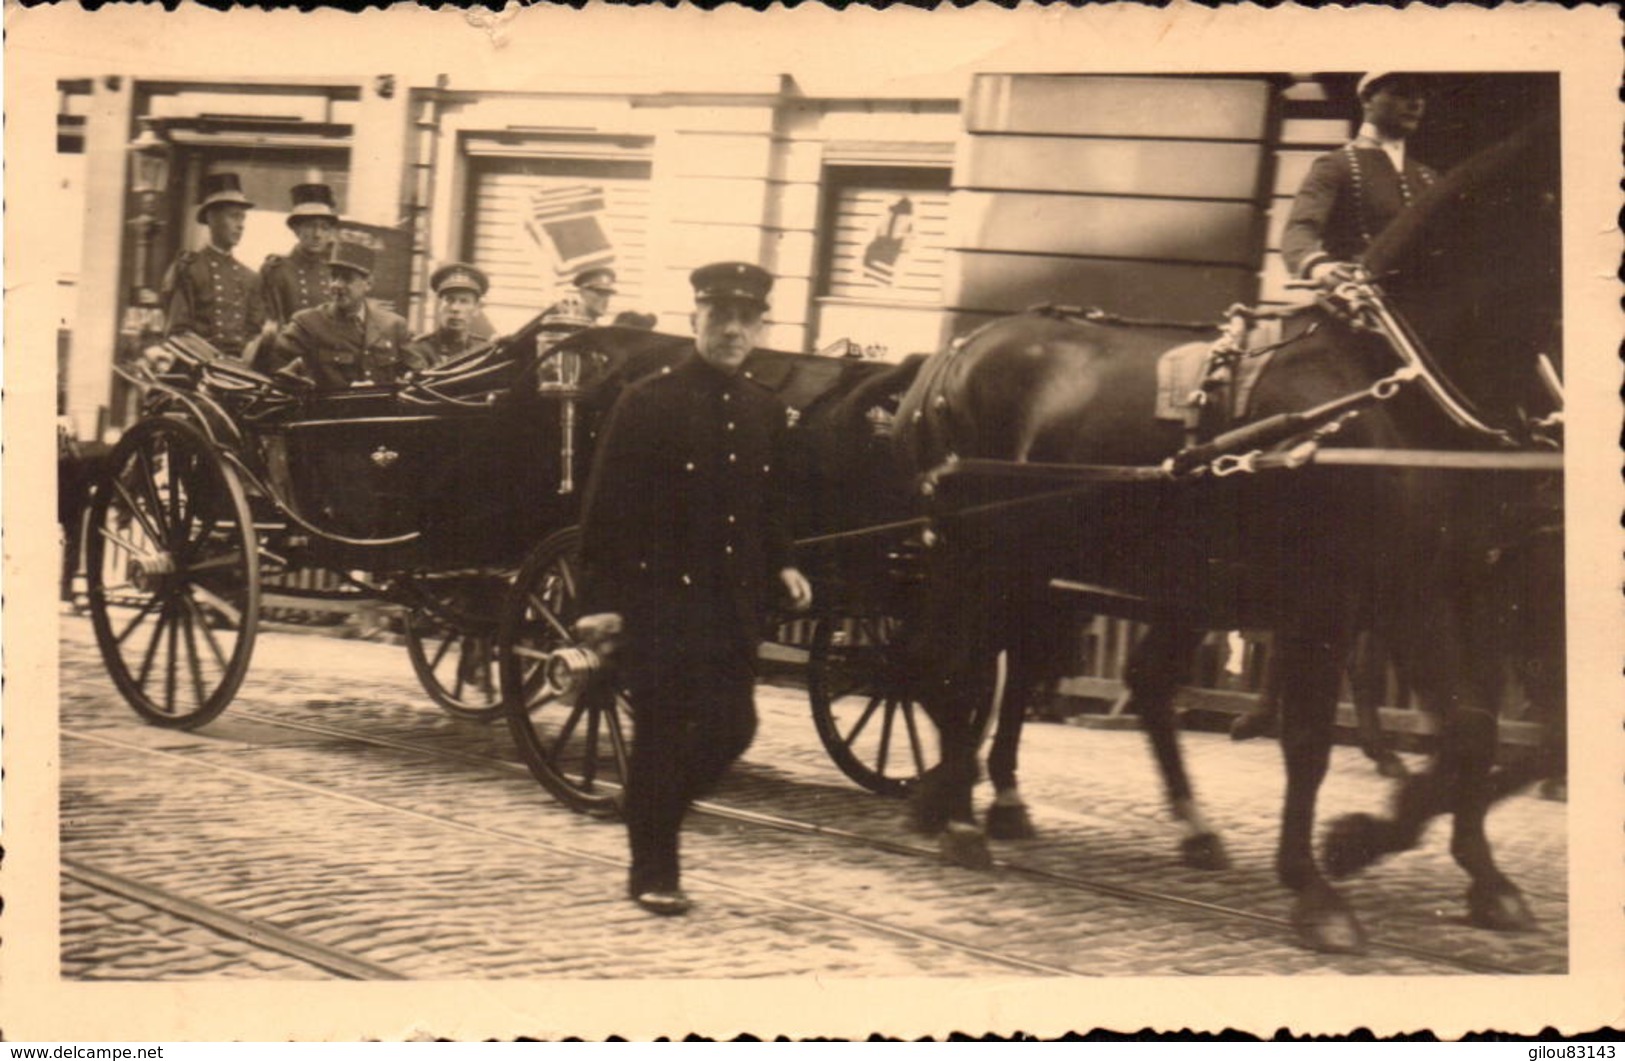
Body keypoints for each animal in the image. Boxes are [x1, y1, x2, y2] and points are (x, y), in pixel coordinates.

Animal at [897, 116, 1566, 948]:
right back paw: (957, 812)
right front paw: (1322, 875)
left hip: (1108, 574)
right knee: (956, 666)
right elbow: (1311, 740)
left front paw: (1472, 873)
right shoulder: (1339, 601)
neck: (1387, 381)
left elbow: (1476, 730)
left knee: (1080, 675)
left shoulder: (1451, 592)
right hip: (981, 554)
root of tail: (956, 352)